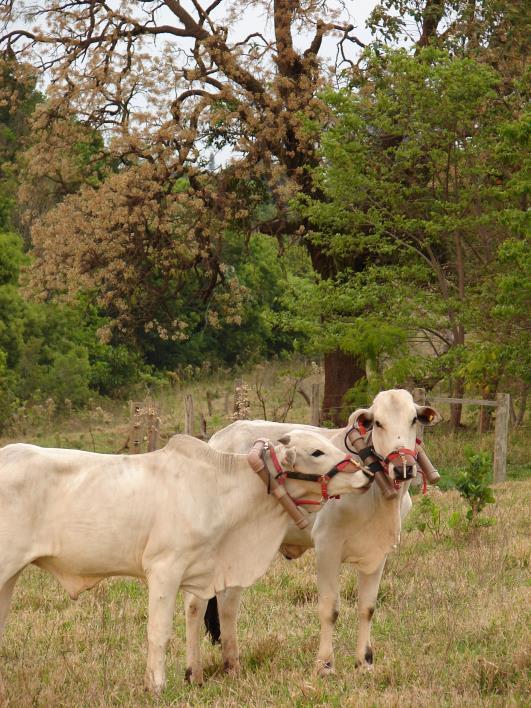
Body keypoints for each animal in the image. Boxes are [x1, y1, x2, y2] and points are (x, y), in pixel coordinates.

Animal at [0, 428, 370, 696]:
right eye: (316, 452)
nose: (365, 474)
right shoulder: (164, 570)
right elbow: (159, 631)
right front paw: (155, 686)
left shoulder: (204, 572)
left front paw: (195, 676)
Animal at [200, 390, 440, 676]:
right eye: (378, 423)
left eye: (413, 419)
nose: (403, 468)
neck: (377, 496)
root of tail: (219, 437)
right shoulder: (327, 547)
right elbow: (329, 609)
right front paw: (325, 665)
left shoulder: (377, 553)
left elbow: (367, 607)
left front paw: (364, 663)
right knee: (226, 602)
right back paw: (231, 662)